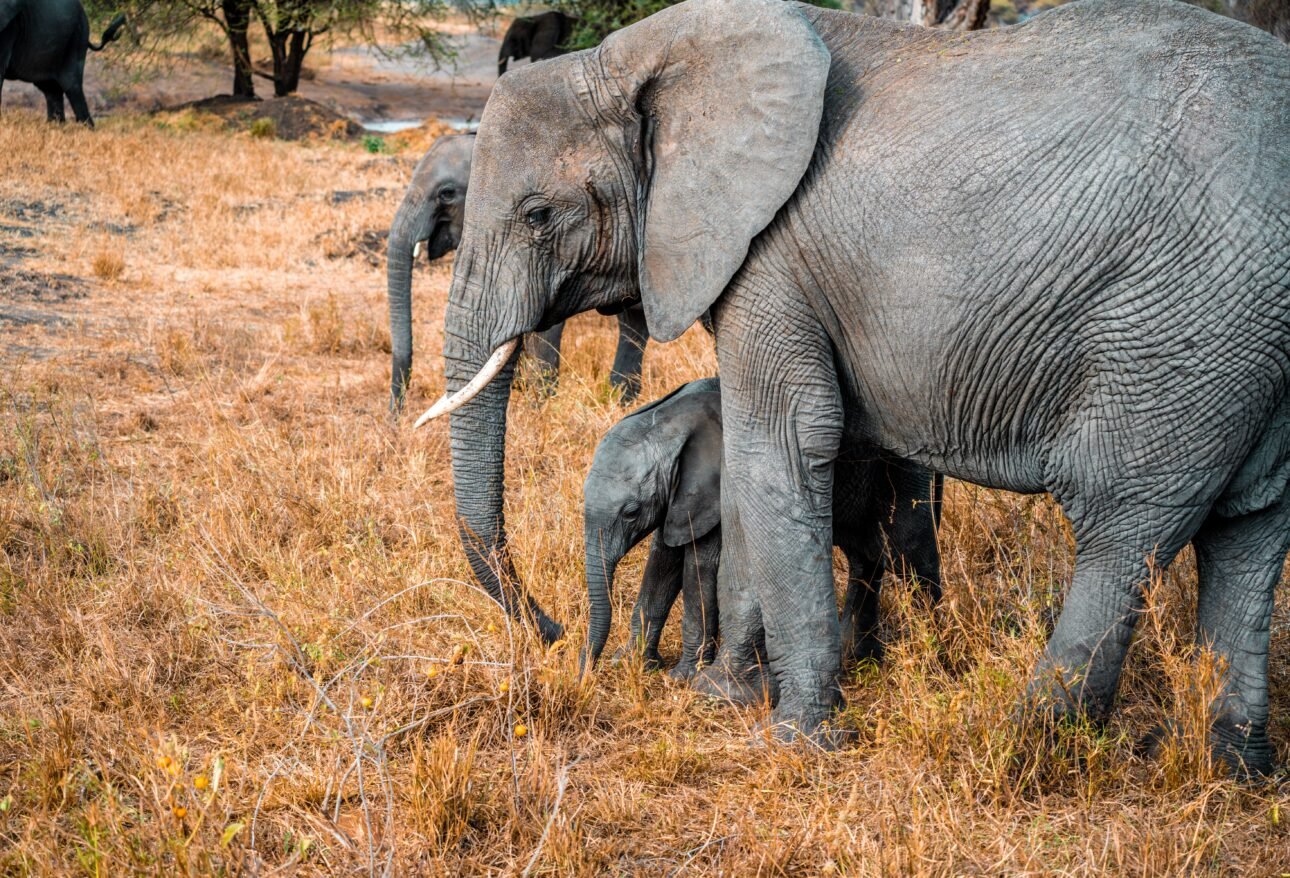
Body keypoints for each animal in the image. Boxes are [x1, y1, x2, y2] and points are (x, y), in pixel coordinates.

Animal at [583, 378, 941, 684]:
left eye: (630, 513)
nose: (585, 671)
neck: (669, 419)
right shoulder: (680, 498)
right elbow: (662, 565)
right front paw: (629, 663)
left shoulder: (719, 487)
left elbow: (699, 568)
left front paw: (681, 678)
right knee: (866, 556)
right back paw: (859, 658)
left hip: (905, 473)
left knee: (912, 554)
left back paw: (936, 652)